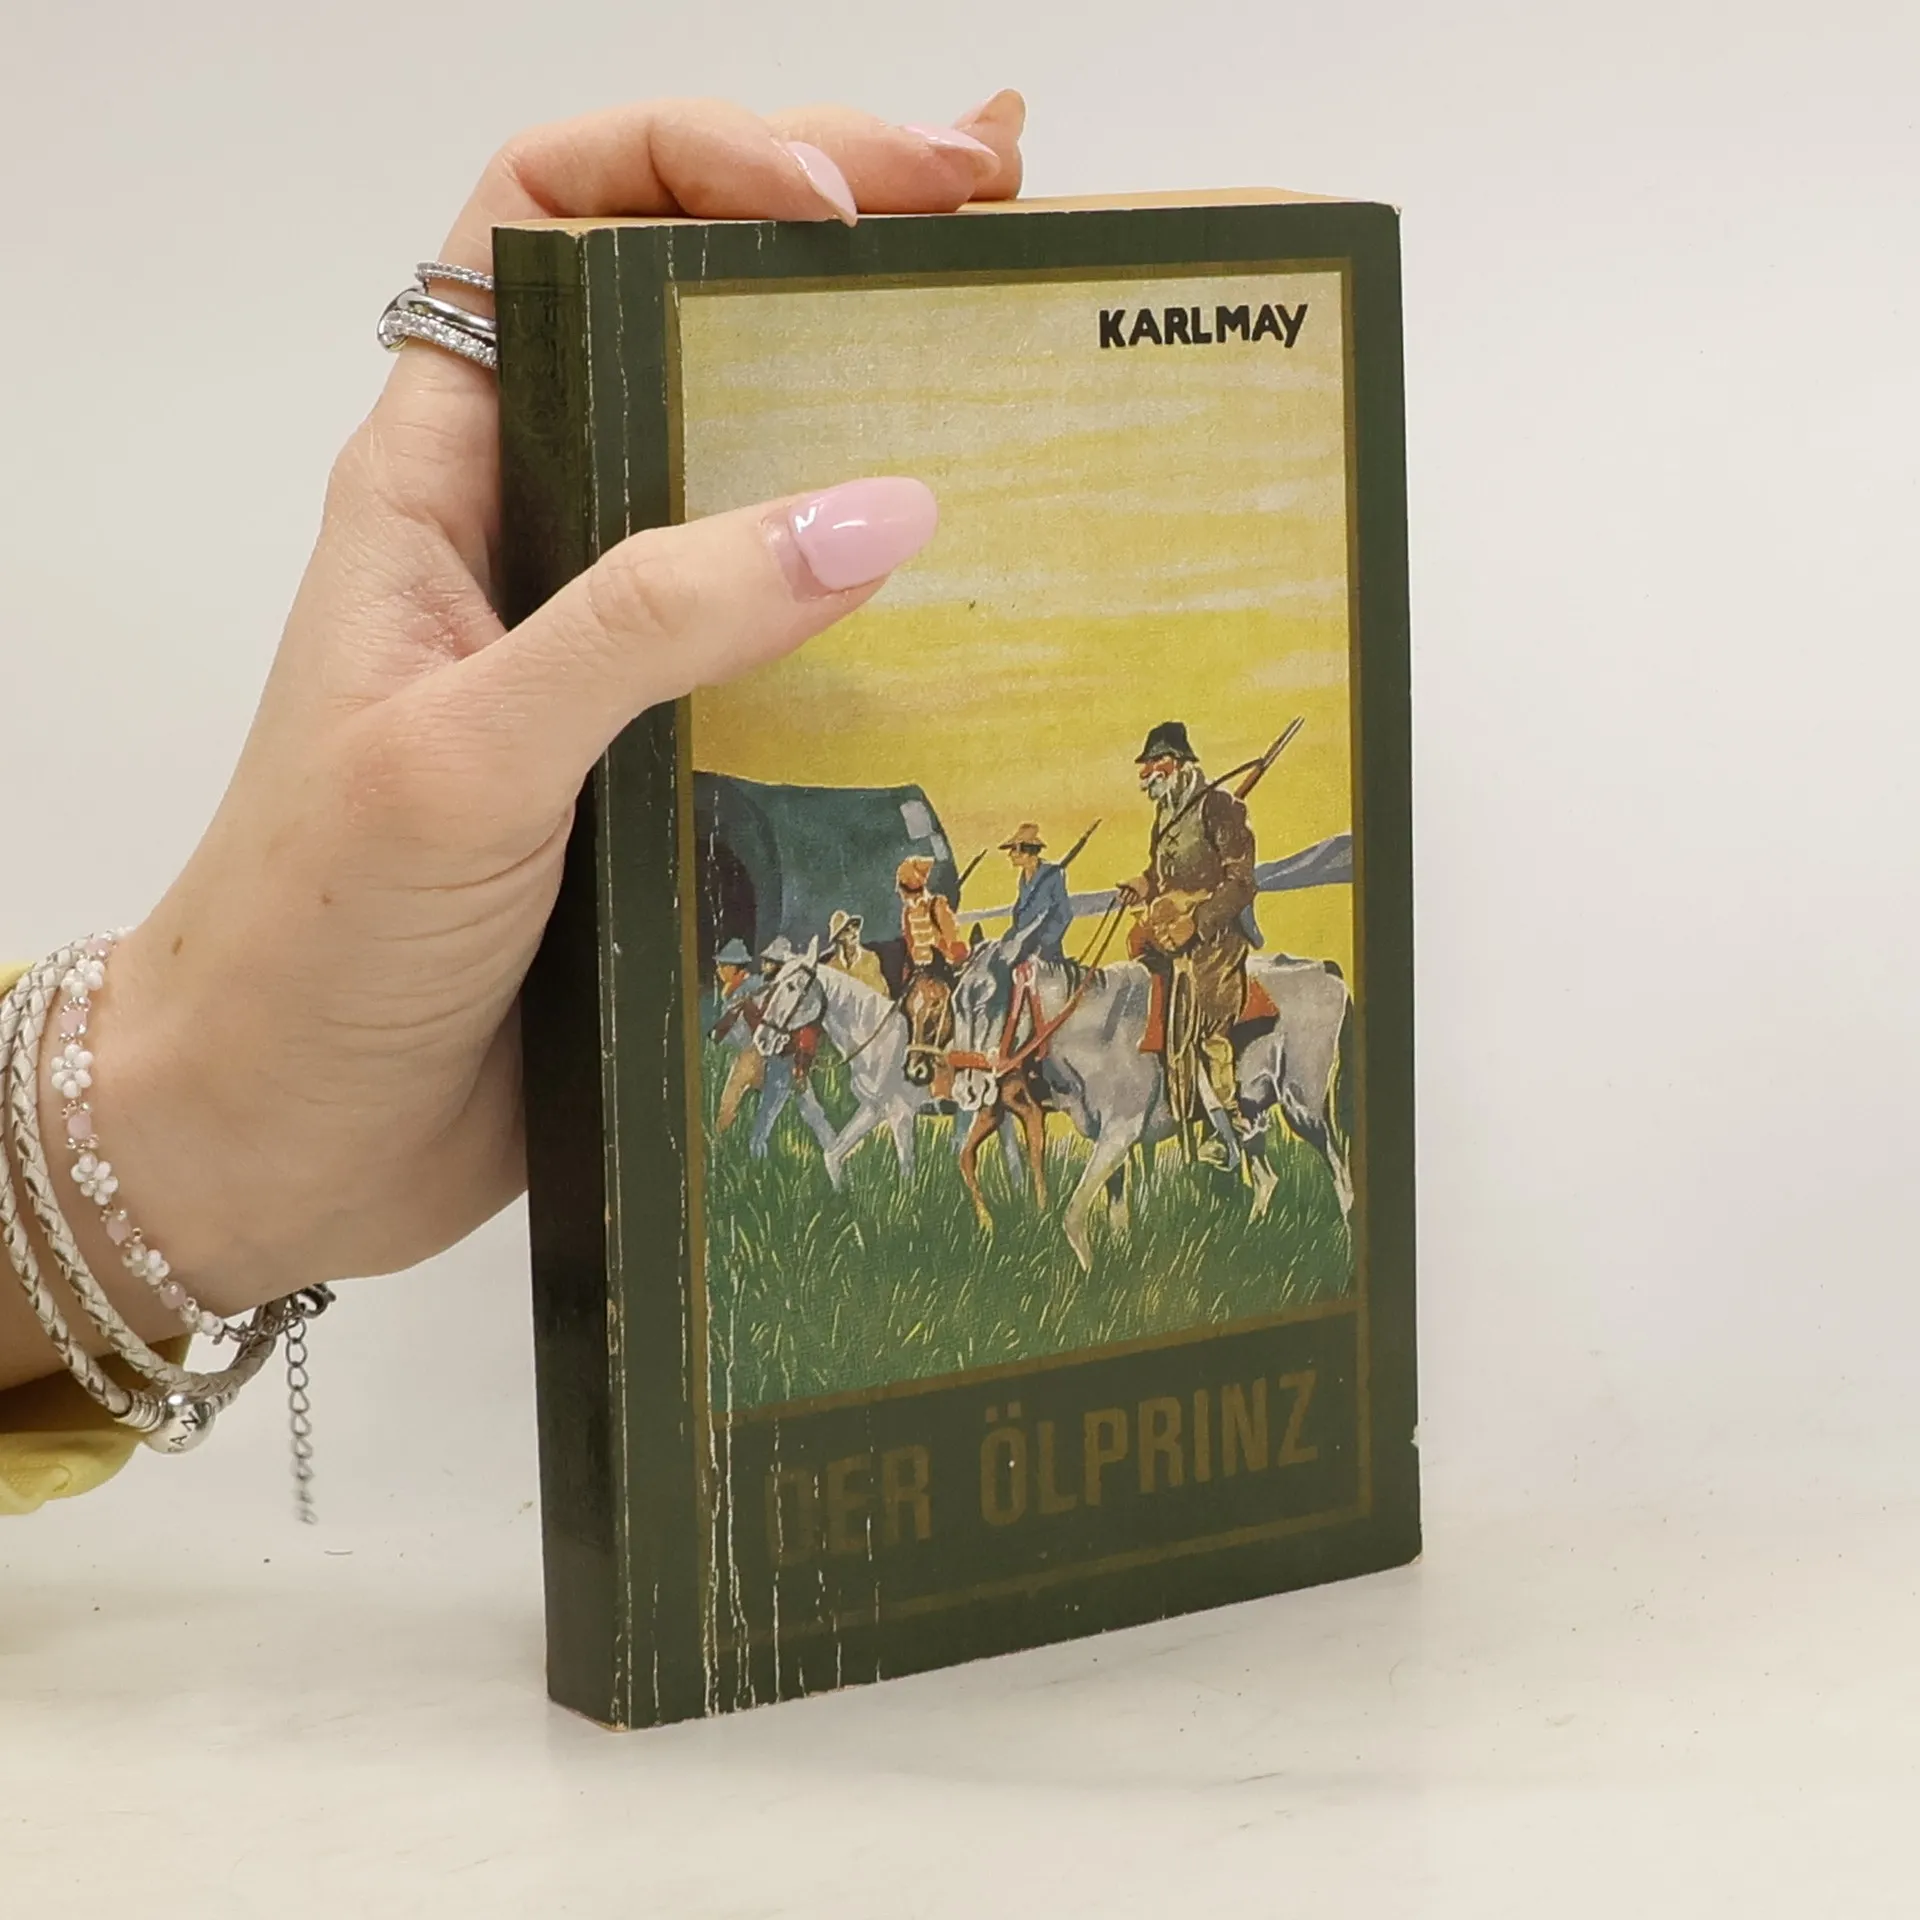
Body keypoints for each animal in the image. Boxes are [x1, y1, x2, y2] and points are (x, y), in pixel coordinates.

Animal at [946, 921, 1354, 1270]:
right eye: (955, 1003)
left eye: (987, 1002)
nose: (966, 1089)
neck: (1095, 1029)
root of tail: (1327, 970)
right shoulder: (1108, 1139)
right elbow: (1115, 1213)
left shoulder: (1119, 1133)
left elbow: (1073, 1215)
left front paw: (1089, 1275)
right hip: (1253, 1113)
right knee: (1267, 1178)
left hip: (1304, 1107)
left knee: (1340, 1172)